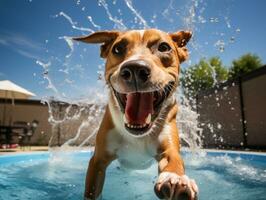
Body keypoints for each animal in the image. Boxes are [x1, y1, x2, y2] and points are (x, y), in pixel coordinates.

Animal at [74, 28, 198, 200]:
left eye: (164, 47)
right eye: (118, 48)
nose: (135, 69)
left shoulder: (169, 148)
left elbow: (174, 160)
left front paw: (176, 179)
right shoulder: (98, 161)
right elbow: (92, 190)